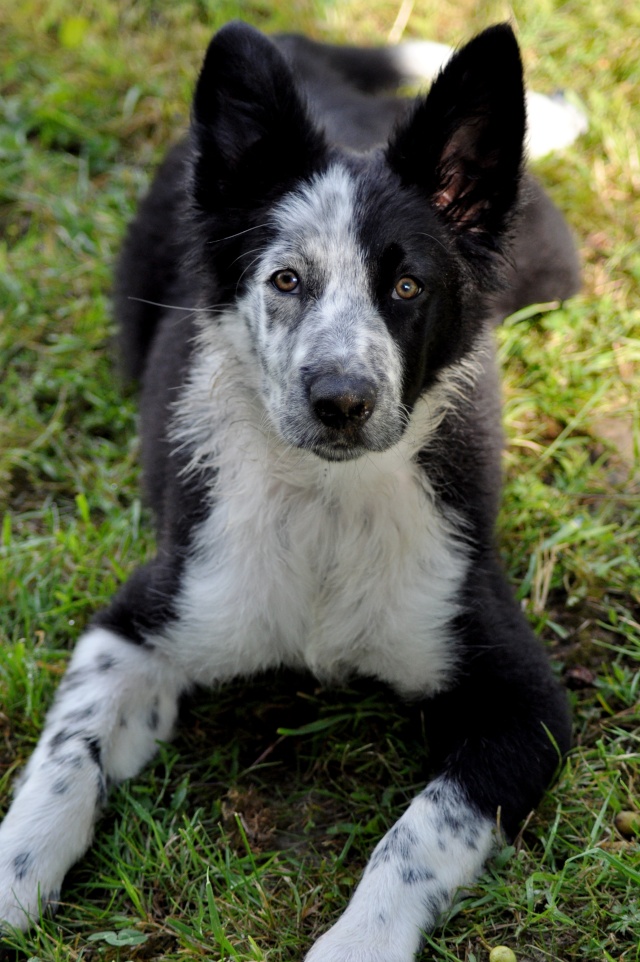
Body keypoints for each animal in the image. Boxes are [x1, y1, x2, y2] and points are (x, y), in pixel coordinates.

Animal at [0, 18, 580, 956]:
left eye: (407, 286)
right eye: (286, 280)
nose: (341, 401)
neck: (324, 503)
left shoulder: (522, 701)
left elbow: (420, 831)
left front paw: (357, 942)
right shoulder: (147, 613)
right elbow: (67, 754)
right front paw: (13, 876)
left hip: (557, 268)